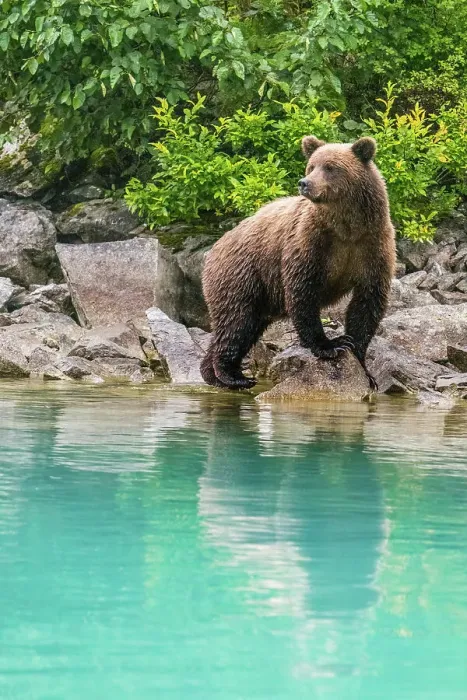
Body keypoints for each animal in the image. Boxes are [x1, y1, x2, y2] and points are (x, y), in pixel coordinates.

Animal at [200, 136, 396, 390]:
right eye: (311, 166)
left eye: (330, 167)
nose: (304, 183)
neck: (346, 228)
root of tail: (212, 251)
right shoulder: (310, 244)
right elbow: (303, 292)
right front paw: (330, 345)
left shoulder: (372, 246)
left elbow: (368, 301)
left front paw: (364, 366)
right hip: (242, 275)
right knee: (237, 323)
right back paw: (233, 375)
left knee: (241, 326)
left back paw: (212, 374)